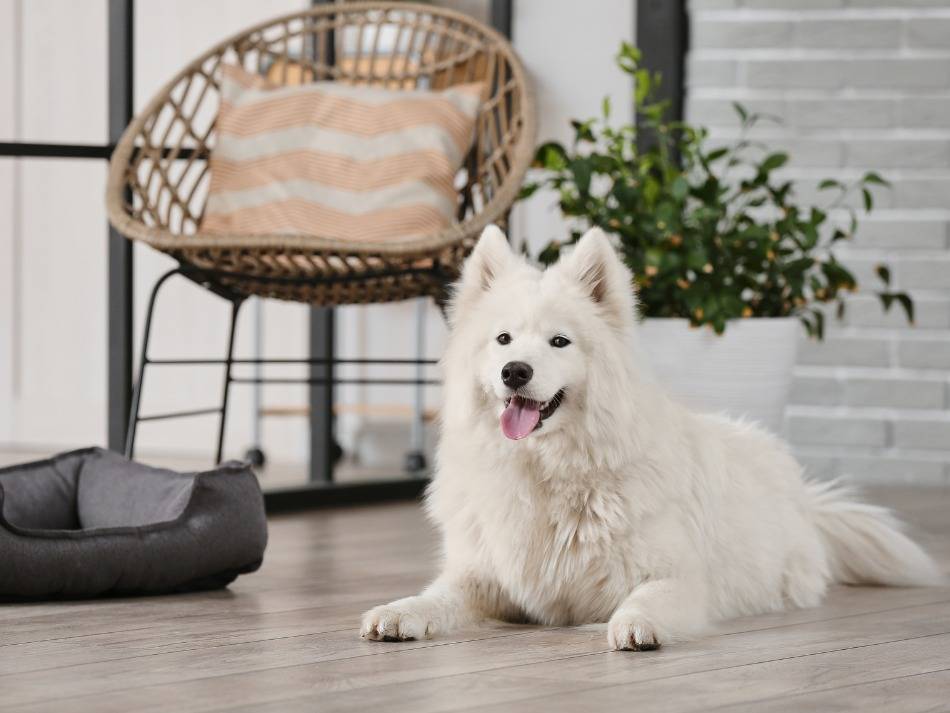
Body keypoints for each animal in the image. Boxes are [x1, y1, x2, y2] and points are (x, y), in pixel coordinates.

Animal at [361, 225, 942, 651]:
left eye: (559, 342)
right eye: (502, 339)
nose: (514, 371)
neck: (550, 472)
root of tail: (805, 497)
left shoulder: (678, 578)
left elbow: (646, 598)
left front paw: (634, 624)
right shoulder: (483, 574)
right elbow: (436, 597)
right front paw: (398, 612)